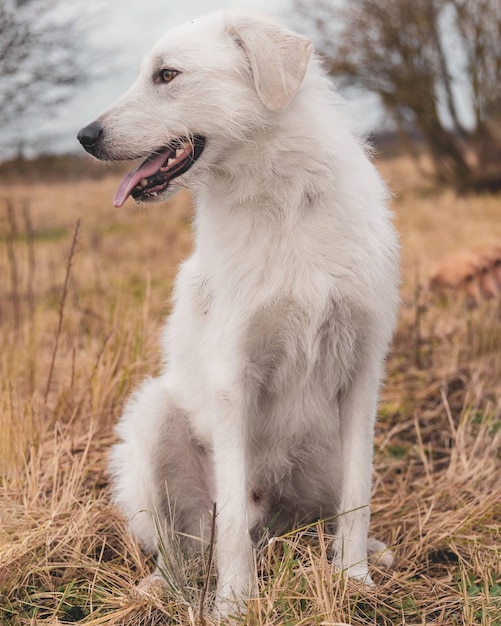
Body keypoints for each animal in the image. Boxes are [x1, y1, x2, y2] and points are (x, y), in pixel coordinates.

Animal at [77, 9, 398, 616]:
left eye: (167, 75)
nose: (84, 136)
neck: (283, 202)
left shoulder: (363, 371)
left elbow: (359, 491)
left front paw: (354, 580)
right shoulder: (234, 379)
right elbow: (227, 529)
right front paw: (234, 605)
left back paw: (367, 551)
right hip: (152, 417)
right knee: (188, 545)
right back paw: (163, 587)